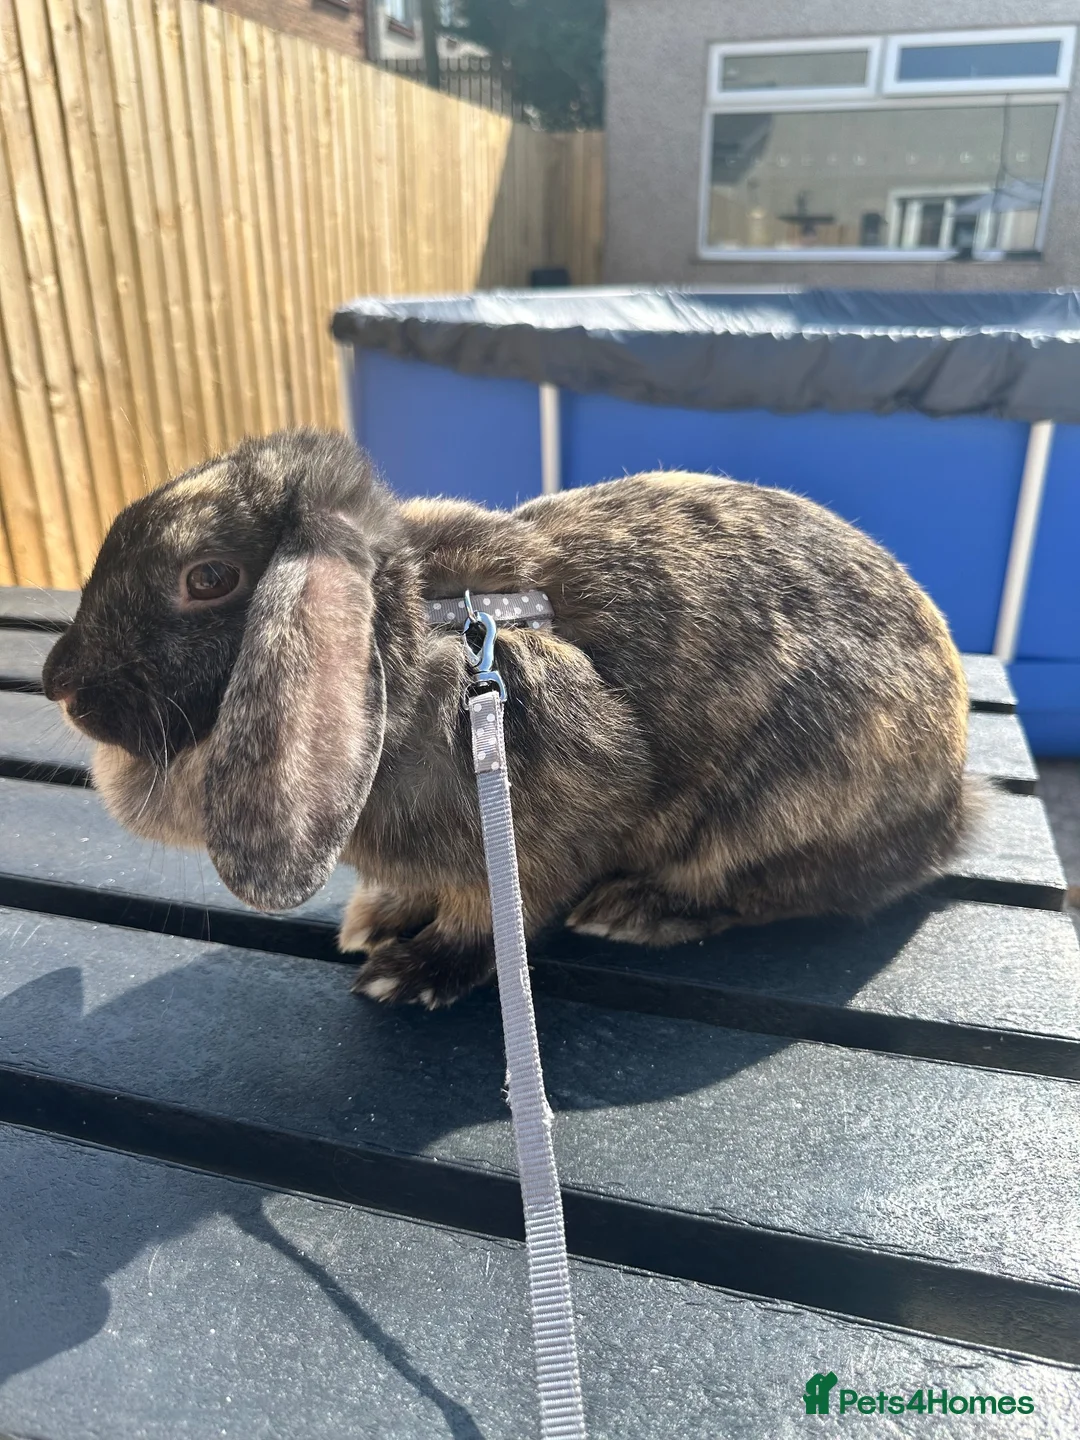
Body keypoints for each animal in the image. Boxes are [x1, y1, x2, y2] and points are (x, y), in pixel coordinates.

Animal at [43, 428, 974, 1010]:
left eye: (207, 578)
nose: (60, 685)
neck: (413, 634)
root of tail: (953, 811)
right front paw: (378, 919)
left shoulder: (541, 827)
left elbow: (500, 917)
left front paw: (410, 973)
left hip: (783, 805)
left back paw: (634, 910)